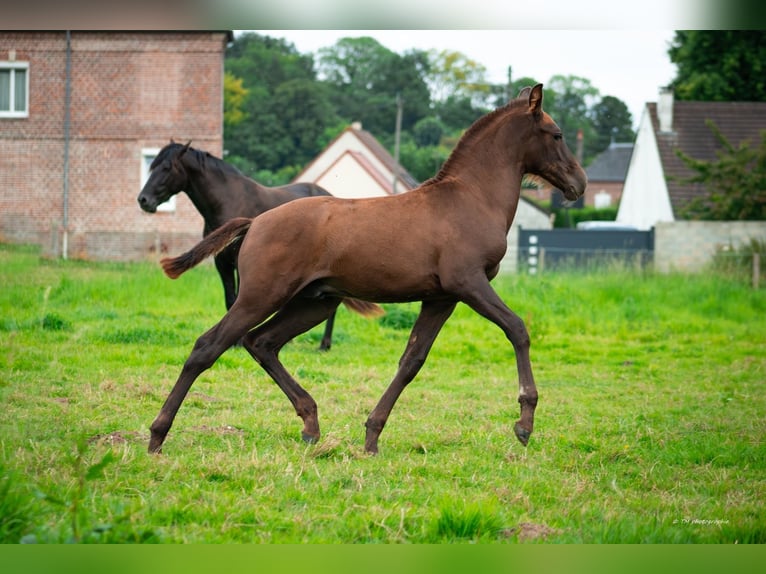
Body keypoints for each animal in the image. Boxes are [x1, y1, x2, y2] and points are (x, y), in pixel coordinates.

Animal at [139, 143, 380, 352]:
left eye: (166, 167)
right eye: (152, 166)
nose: (144, 200)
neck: (229, 201)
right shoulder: (222, 263)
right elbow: (230, 299)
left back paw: (324, 345)